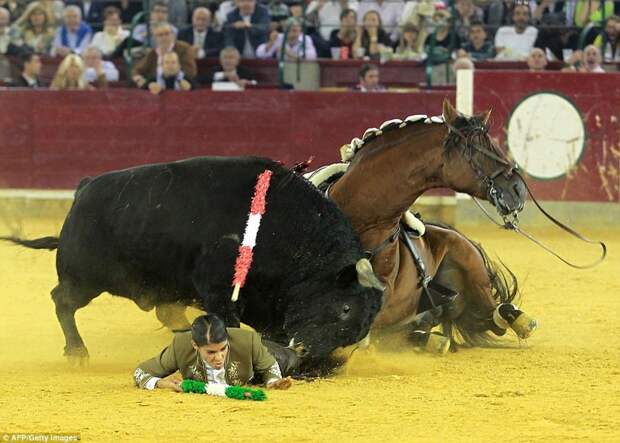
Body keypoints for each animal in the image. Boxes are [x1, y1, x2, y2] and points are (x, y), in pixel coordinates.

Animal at [2, 158, 386, 362]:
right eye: (345, 308)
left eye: (361, 328)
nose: (306, 353)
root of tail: (83, 188)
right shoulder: (220, 290)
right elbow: (229, 323)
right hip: (84, 278)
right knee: (61, 300)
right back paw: (77, 352)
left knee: (167, 314)